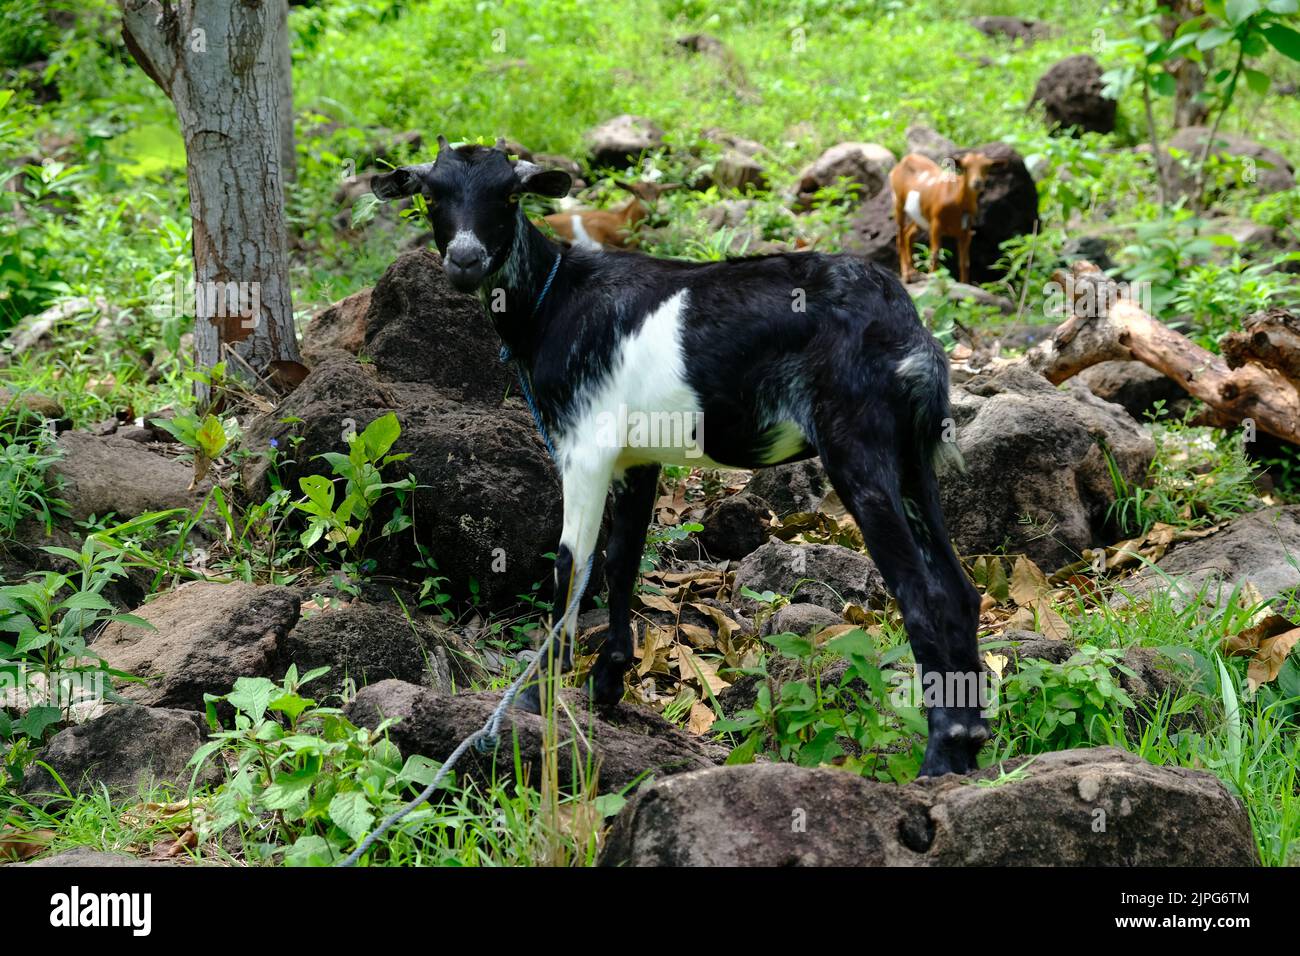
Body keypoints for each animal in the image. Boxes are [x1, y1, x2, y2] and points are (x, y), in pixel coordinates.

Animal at [371, 136, 987, 780]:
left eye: (510, 195)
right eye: (431, 194)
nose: (465, 258)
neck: (554, 298)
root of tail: (907, 330)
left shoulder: (585, 445)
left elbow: (571, 564)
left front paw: (540, 698)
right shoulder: (635, 458)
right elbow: (620, 561)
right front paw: (608, 682)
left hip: (857, 446)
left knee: (921, 594)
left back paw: (940, 754)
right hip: (913, 456)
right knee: (958, 589)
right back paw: (969, 740)